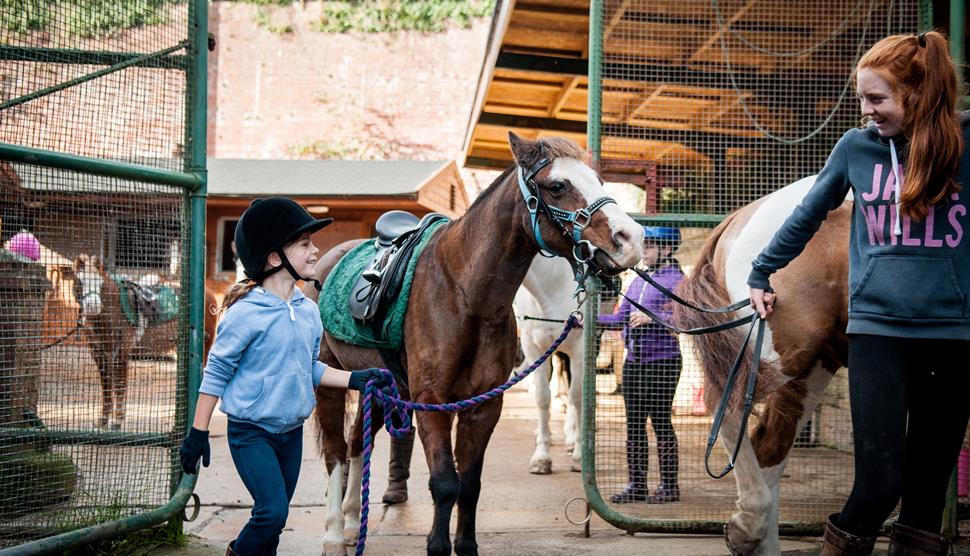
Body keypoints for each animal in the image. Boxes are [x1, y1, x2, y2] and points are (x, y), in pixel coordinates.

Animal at [65, 254, 216, 428]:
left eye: (100, 283)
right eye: (79, 280)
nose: (93, 306)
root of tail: (209, 294)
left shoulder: (120, 354)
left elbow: (119, 386)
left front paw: (117, 421)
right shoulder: (99, 355)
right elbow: (106, 387)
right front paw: (102, 421)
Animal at [306, 132, 648, 552]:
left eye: (599, 181)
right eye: (557, 186)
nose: (630, 239)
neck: (465, 293)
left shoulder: (484, 404)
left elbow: (469, 485)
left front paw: (465, 545)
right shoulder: (432, 402)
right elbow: (444, 483)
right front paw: (438, 545)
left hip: (378, 384)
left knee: (357, 442)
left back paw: (355, 521)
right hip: (329, 382)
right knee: (336, 452)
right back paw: (335, 534)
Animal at [672, 177, 848, 556]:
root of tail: (741, 216)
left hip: (815, 362)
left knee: (769, 445)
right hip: (783, 351)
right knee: (726, 405)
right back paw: (749, 524)